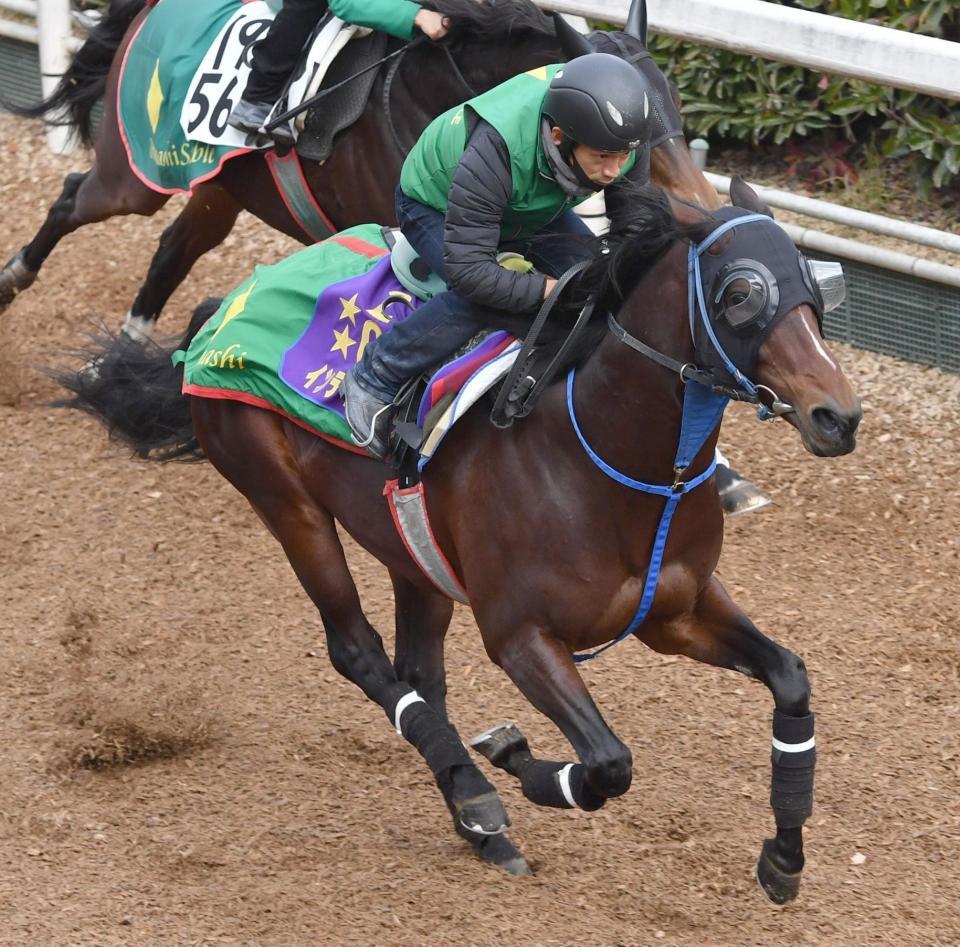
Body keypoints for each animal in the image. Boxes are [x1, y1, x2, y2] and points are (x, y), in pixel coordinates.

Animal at [1, 0, 720, 340]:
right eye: (635, 132)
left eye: (676, 108)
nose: (704, 209)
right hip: (136, 175)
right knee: (73, 198)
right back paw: (15, 278)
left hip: (224, 185)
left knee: (175, 247)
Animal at [62, 181, 872, 900]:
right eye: (741, 294)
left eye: (815, 285)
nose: (838, 415)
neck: (606, 457)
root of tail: (221, 310)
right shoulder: (520, 635)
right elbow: (608, 763)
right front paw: (515, 756)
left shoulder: (678, 611)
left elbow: (791, 677)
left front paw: (783, 858)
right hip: (281, 496)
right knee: (359, 651)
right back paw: (477, 798)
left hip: (410, 552)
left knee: (418, 668)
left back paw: (469, 805)